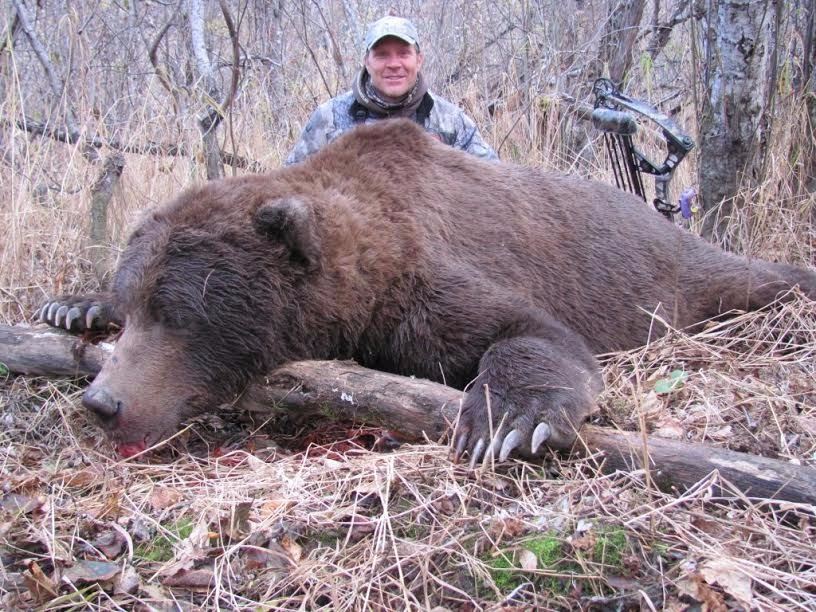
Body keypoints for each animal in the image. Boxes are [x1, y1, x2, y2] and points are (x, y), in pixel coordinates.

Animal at [39, 119, 816, 461]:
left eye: (177, 314)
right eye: (137, 304)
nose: (103, 403)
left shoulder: (422, 285)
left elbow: (532, 333)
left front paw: (508, 418)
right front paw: (75, 303)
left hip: (681, 276)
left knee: (751, 279)